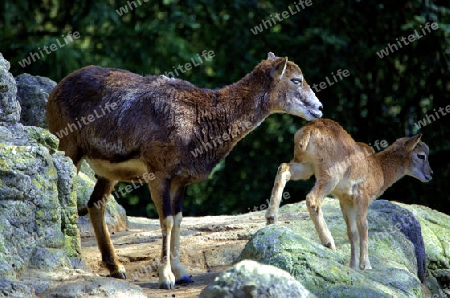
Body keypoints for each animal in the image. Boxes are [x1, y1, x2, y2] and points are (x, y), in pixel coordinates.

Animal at [46, 53, 324, 288]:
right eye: (296, 80)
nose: (319, 108)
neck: (199, 120)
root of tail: (58, 88)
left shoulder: (180, 182)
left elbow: (179, 220)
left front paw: (182, 274)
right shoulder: (159, 175)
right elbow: (167, 221)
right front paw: (166, 278)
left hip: (108, 172)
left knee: (96, 203)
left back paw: (117, 269)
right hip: (69, 148)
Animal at [264, 118, 432, 270]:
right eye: (421, 155)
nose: (430, 174)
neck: (380, 169)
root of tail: (310, 130)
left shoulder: (346, 201)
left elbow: (352, 232)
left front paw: (353, 266)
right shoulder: (362, 197)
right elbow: (363, 226)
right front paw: (366, 265)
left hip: (306, 167)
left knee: (283, 168)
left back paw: (271, 218)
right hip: (330, 176)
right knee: (312, 199)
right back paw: (329, 243)